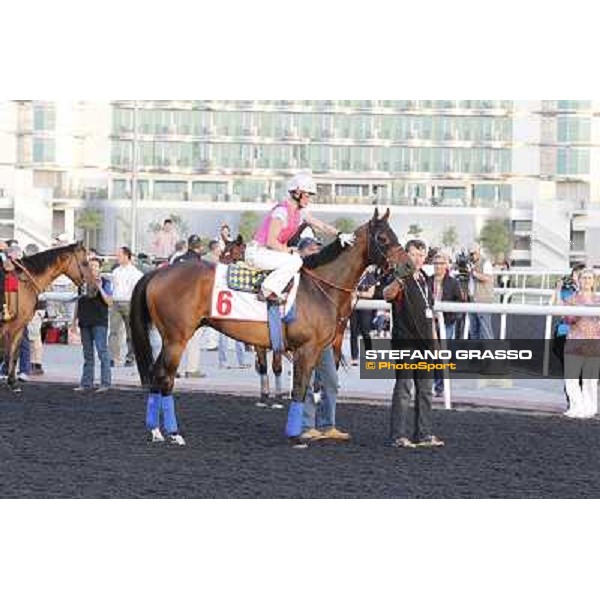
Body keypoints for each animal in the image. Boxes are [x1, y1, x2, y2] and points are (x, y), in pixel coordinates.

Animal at [0, 244, 97, 394]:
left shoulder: (20, 326)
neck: (25, 283)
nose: (94, 288)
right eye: (85, 263)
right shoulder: (10, 326)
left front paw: (13, 383)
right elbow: (6, 352)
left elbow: (13, 354)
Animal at [131, 209, 412, 442]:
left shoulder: (316, 349)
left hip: (169, 339)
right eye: (383, 238)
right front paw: (295, 435)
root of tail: (157, 272)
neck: (319, 287)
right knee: (166, 378)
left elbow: (314, 387)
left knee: (156, 374)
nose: (408, 265)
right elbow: (299, 389)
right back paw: (174, 433)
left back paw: (155, 431)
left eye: (394, 235)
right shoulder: (305, 349)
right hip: (177, 339)